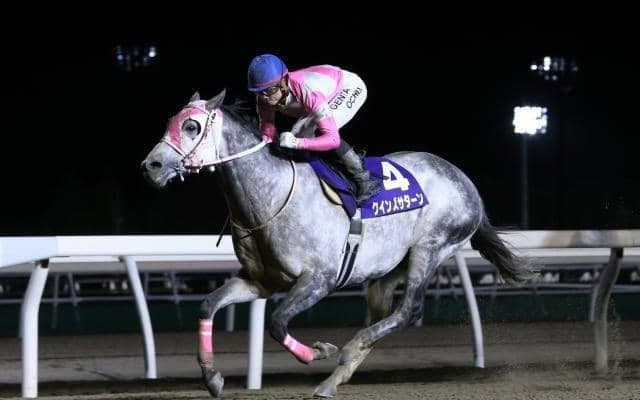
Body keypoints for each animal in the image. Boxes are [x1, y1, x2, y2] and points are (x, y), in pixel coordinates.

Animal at [140, 89, 538, 398]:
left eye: (191, 126)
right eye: (170, 122)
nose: (151, 166)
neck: (269, 196)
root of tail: (464, 181)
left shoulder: (320, 279)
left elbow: (277, 323)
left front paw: (319, 351)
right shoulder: (259, 281)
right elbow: (208, 305)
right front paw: (212, 377)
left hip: (431, 248)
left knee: (408, 311)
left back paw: (348, 350)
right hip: (387, 270)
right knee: (382, 315)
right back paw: (335, 379)